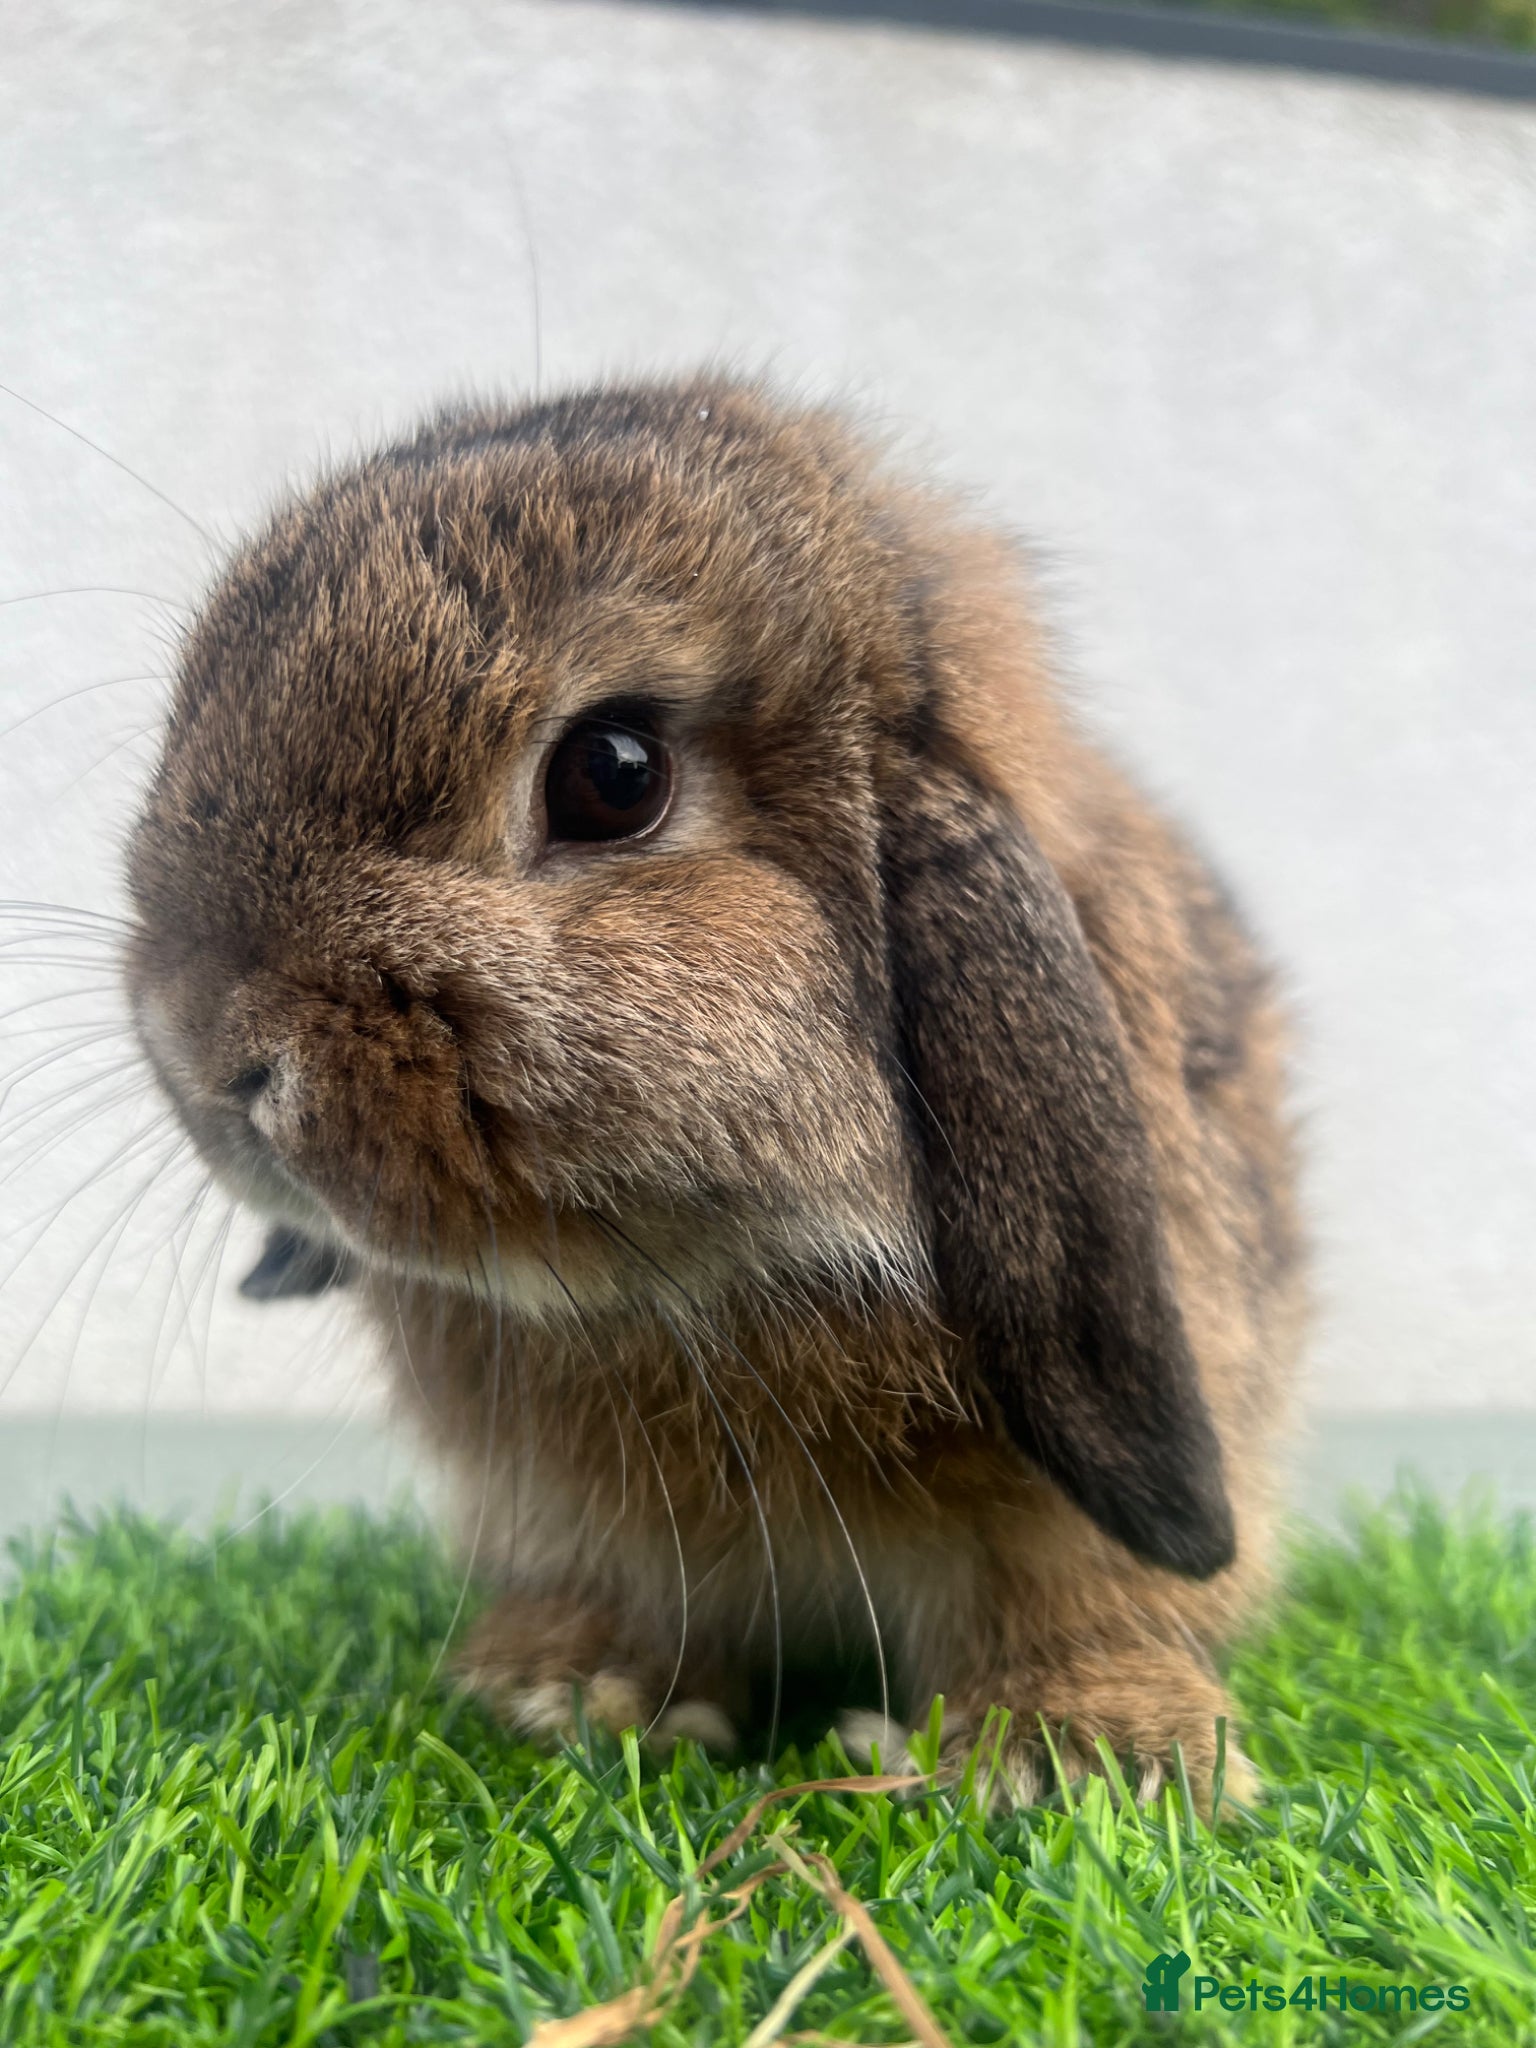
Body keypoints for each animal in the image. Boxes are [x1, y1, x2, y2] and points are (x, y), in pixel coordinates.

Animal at [125, 376, 1303, 1807]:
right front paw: (566, 1693)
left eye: (613, 774)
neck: (705, 1280)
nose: (205, 1043)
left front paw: (1078, 1753)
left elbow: (1074, 1592)